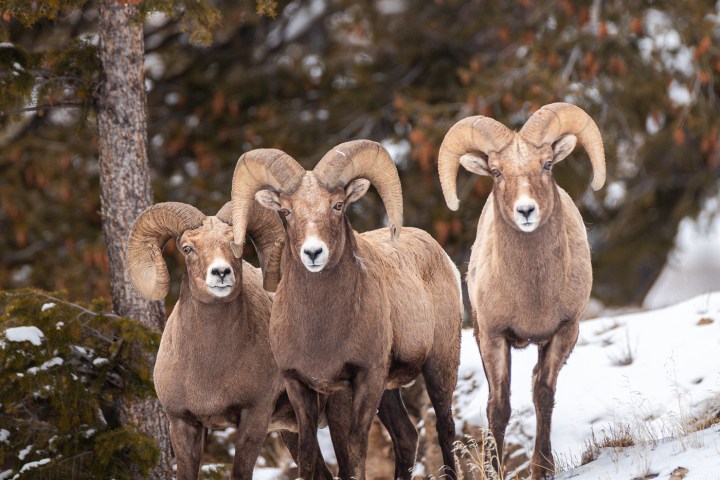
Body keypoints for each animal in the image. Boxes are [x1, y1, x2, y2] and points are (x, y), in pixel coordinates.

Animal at [127, 201, 332, 480]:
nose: (221, 272)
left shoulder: (254, 418)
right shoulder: (182, 424)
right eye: (187, 248)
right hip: (293, 431)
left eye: (237, 245)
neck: (210, 369)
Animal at [228, 140, 464, 480]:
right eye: (286, 210)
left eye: (337, 205)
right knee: (407, 437)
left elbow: (354, 452)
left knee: (445, 430)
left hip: (439, 367)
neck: (320, 329)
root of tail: (442, 255)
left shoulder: (365, 378)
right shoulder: (299, 385)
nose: (313, 252)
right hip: (389, 391)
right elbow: (308, 456)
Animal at [436, 102, 606, 479]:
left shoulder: (564, 332)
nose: (526, 210)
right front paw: (495, 470)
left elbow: (543, 393)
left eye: (547, 164)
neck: (533, 295)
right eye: (496, 172)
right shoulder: (493, 337)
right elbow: (498, 408)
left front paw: (541, 468)